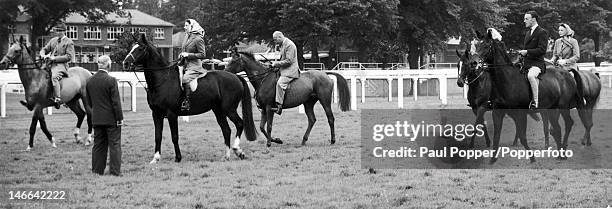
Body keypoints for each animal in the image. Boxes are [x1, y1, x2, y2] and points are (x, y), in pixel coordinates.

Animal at [122, 33, 256, 162]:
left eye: (140, 48)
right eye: (132, 47)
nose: (125, 63)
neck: (163, 79)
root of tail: (236, 77)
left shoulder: (171, 114)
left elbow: (174, 137)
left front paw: (178, 158)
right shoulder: (156, 114)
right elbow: (158, 136)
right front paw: (155, 158)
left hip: (229, 109)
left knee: (239, 124)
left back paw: (238, 150)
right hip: (218, 110)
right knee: (226, 130)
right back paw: (227, 156)